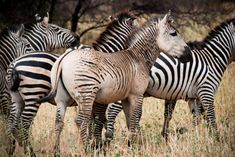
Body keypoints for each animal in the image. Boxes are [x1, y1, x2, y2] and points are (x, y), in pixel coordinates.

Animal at [6, 11, 138, 156]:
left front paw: (94, 145)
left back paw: (11, 149)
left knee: (12, 121)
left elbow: (92, 122)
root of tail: (15, 63)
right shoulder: (100, 99)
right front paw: (96, 146)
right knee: (24, 123)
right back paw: (29, 151)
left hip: (17, 97)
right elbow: (97, 122)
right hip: (34, 93)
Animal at [37, 12, 191, 153]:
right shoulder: (136, 95)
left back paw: (57, 150)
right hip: (86, 94)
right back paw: (87, 150)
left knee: (59, 122)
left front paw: (131, 145)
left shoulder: (125, 98)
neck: (139, 57)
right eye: (173, 34)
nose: (189, 54)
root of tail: (64, 59)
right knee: (81, 121)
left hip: (62, 98)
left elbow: (129, 121)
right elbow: (133, 119)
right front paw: (130, 147)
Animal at [105, 17, 235, 141]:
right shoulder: (206, 91)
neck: (212, 58)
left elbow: (194, 117)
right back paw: (110, 137)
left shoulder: (191, 96)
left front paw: (194, 137)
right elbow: (210, 117)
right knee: (112, 110)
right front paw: (216, 139)